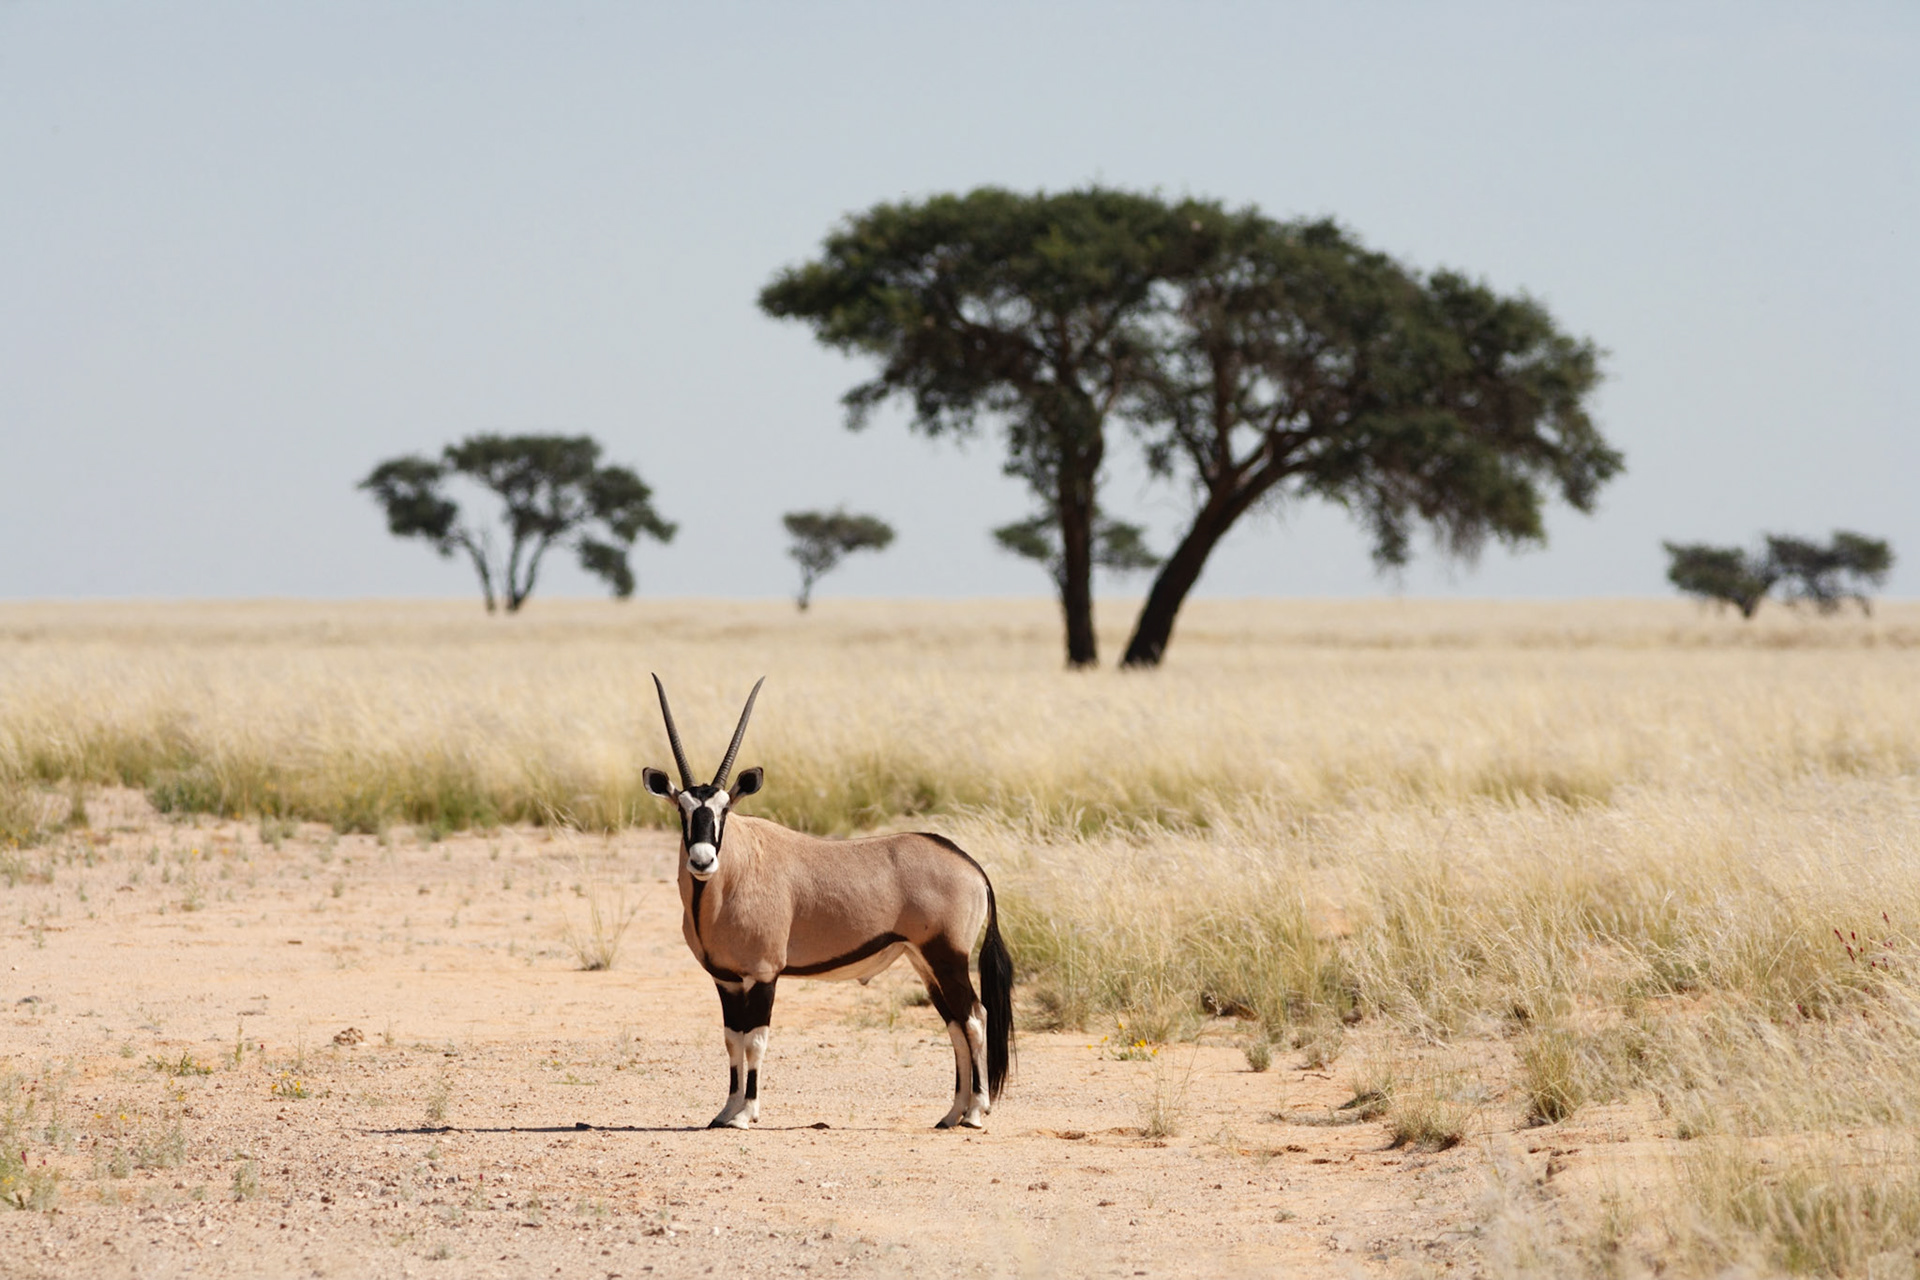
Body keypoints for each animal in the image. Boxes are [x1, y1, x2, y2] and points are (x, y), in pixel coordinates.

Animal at [643, 676, 1013, 1130]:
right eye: (682, 809)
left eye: (724, 809)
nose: (702, 860)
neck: (732, 874)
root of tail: (971, 865)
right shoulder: (726, 980)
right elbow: (732, 1040)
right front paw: (725, 1110)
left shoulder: (764, 975)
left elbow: (756, 1041)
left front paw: (746, 1113)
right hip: (925, 962)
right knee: (957, 1024)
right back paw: (952, 1113)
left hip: (947, 956)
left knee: (975, 1018)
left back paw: (976, 1111)